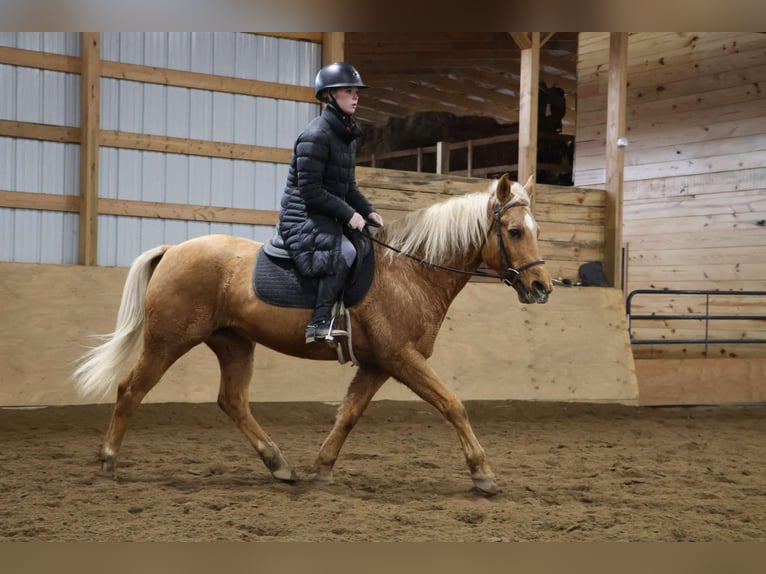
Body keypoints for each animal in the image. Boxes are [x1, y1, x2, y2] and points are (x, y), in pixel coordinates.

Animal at [73, 173, 552, 498]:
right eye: (514, 231)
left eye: (536, 230)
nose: (541, 287)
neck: (410, 272)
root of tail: (173, 250)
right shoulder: (402, 358)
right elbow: (453, 404)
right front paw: (482, 473)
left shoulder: (378, 364)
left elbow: (348, 414)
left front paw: (323, 468)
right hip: (167, 341)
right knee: (130, 389)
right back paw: (108, 463)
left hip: (233, 343)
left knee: (232, 401)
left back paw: (279, 465)